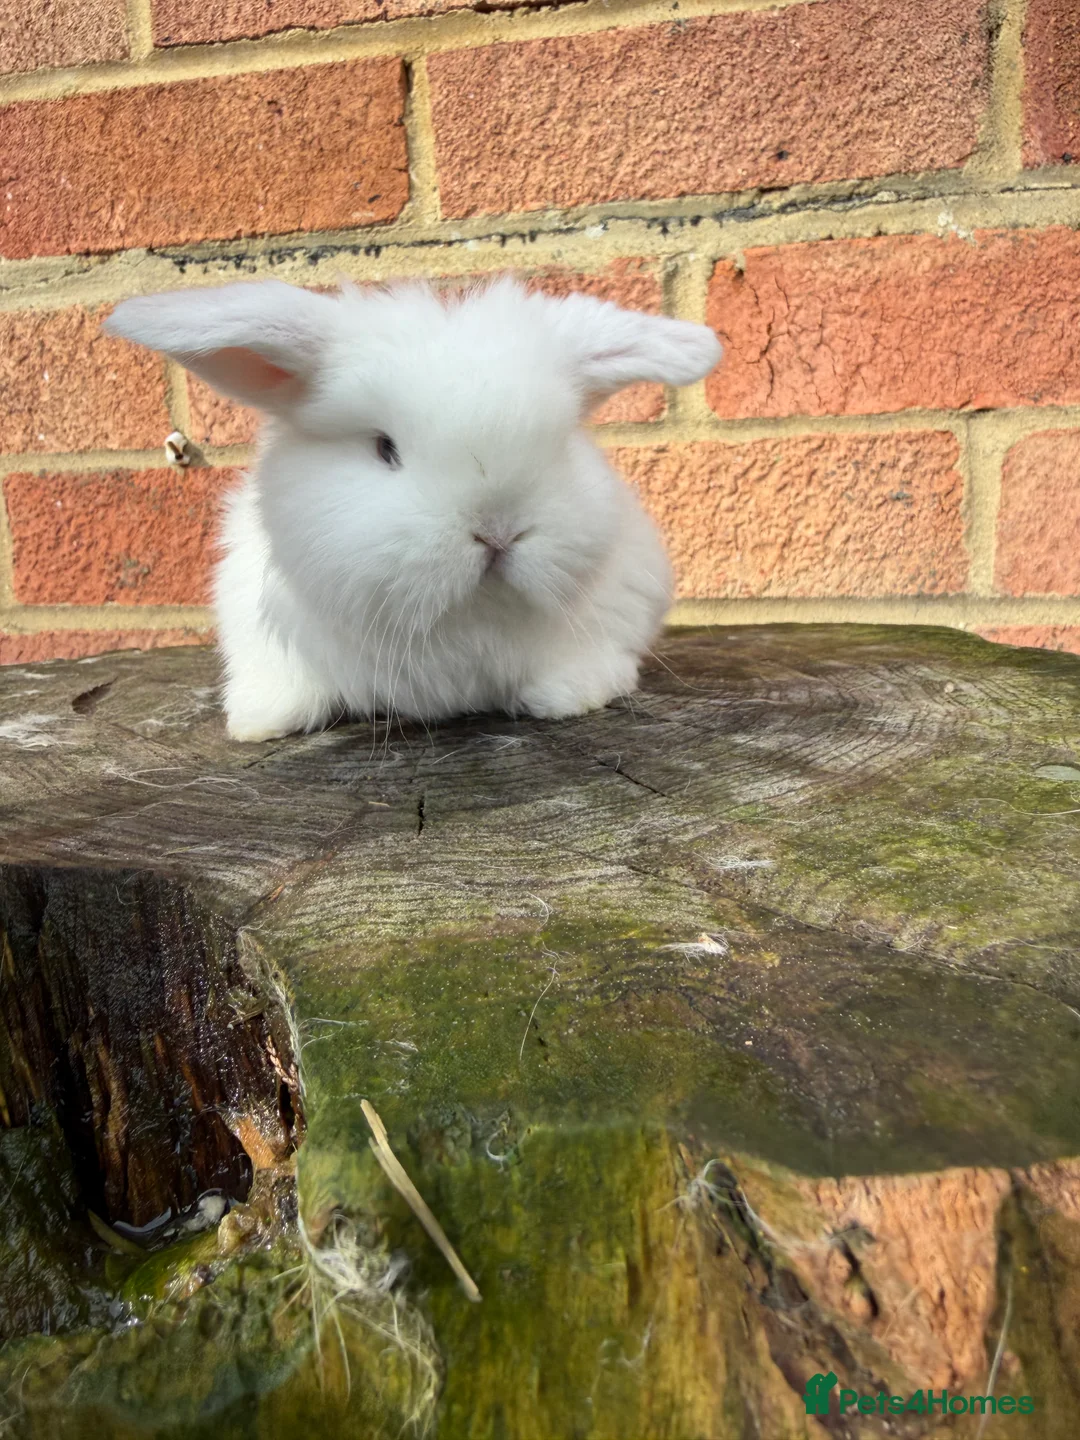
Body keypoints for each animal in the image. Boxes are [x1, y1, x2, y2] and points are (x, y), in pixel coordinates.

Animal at [103, 276, 721, 742]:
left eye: (561, 444)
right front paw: (258, 723)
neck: (469, 623)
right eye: (385, 448)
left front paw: (571, 697)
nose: (498, 532)